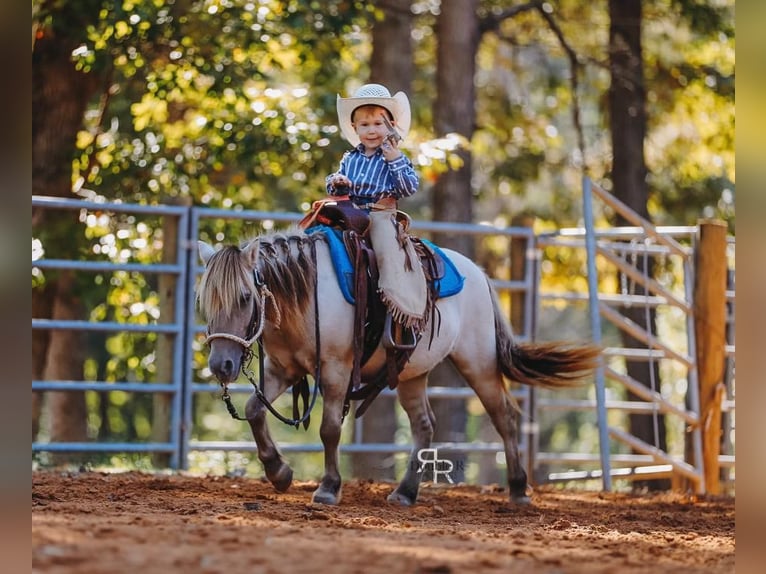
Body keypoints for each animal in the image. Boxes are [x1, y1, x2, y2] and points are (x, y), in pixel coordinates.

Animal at [196, 228, 600, 506]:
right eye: (204, 302)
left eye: (245, 297)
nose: (221, 365)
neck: (306, 295)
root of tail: (478, 274)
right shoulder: (284, 370)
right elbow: (254, 409)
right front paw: (278, 472)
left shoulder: (336, 369)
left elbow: (329, 429)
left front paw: (328, 488)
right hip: (412, 374)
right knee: (425, 425)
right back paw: (405, 492)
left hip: (479, 363)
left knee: (504, 417)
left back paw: (518, 490)